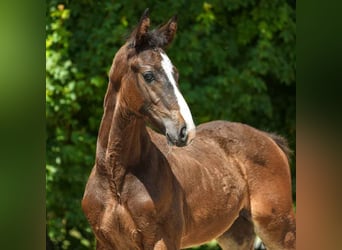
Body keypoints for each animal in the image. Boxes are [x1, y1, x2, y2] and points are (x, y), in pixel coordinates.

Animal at [81, 9, 296, 250]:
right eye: (148, 75)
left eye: (175, 74)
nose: (186, 130)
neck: (116, 176)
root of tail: (269, 139)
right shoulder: (104, 242)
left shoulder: (162, 241)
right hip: (235, 233)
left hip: (279, 228)